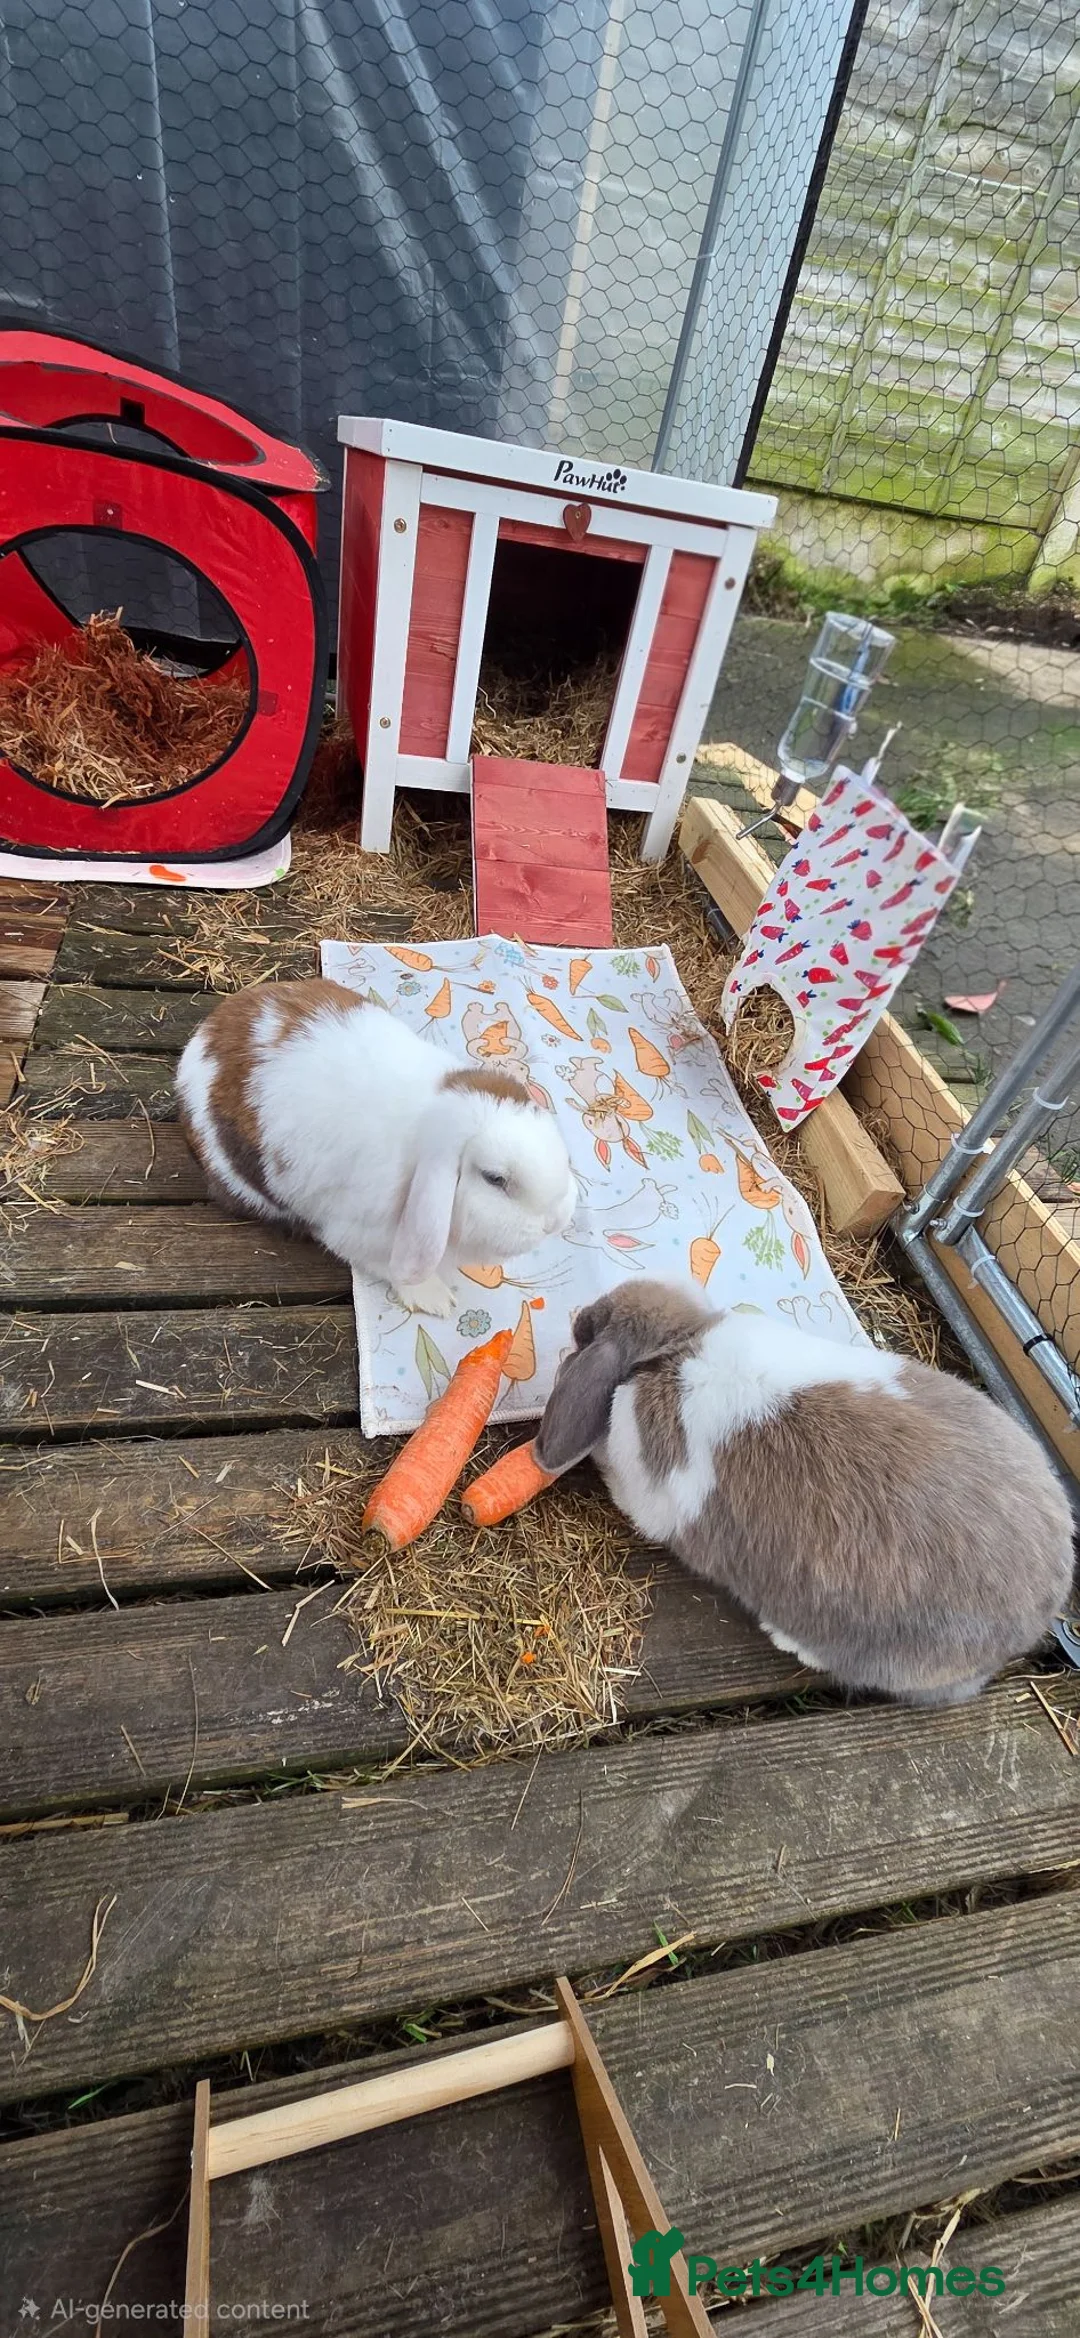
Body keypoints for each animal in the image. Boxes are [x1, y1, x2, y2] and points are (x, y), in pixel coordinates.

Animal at [175, 978, 578, 1317]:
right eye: (495, 1179)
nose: (553, 1223)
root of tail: (198, 1044)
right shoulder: (355, 1234)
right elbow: (391, 1268)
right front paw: (434, 1299)